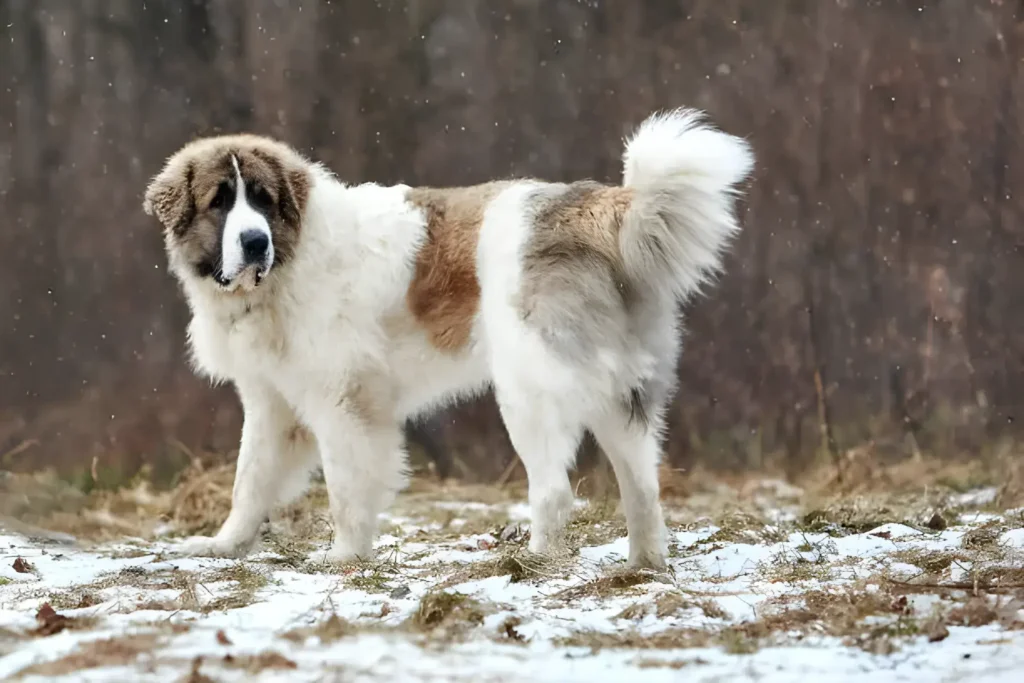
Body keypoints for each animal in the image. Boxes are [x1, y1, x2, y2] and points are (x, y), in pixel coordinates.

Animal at [144, 111, 753, 573]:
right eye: (220, 202)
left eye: (264, 200)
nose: (254, 242)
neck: (287, 266)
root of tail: (591, 206)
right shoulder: (272, 404)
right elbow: (250, 480)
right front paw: (225, 545)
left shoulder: (344, 402)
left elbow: (346, 487)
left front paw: (344, 558)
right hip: (620, 394)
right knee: (643, 486)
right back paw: (643, 565)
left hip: (528, 390)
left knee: (554, 490)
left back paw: (530, 561)